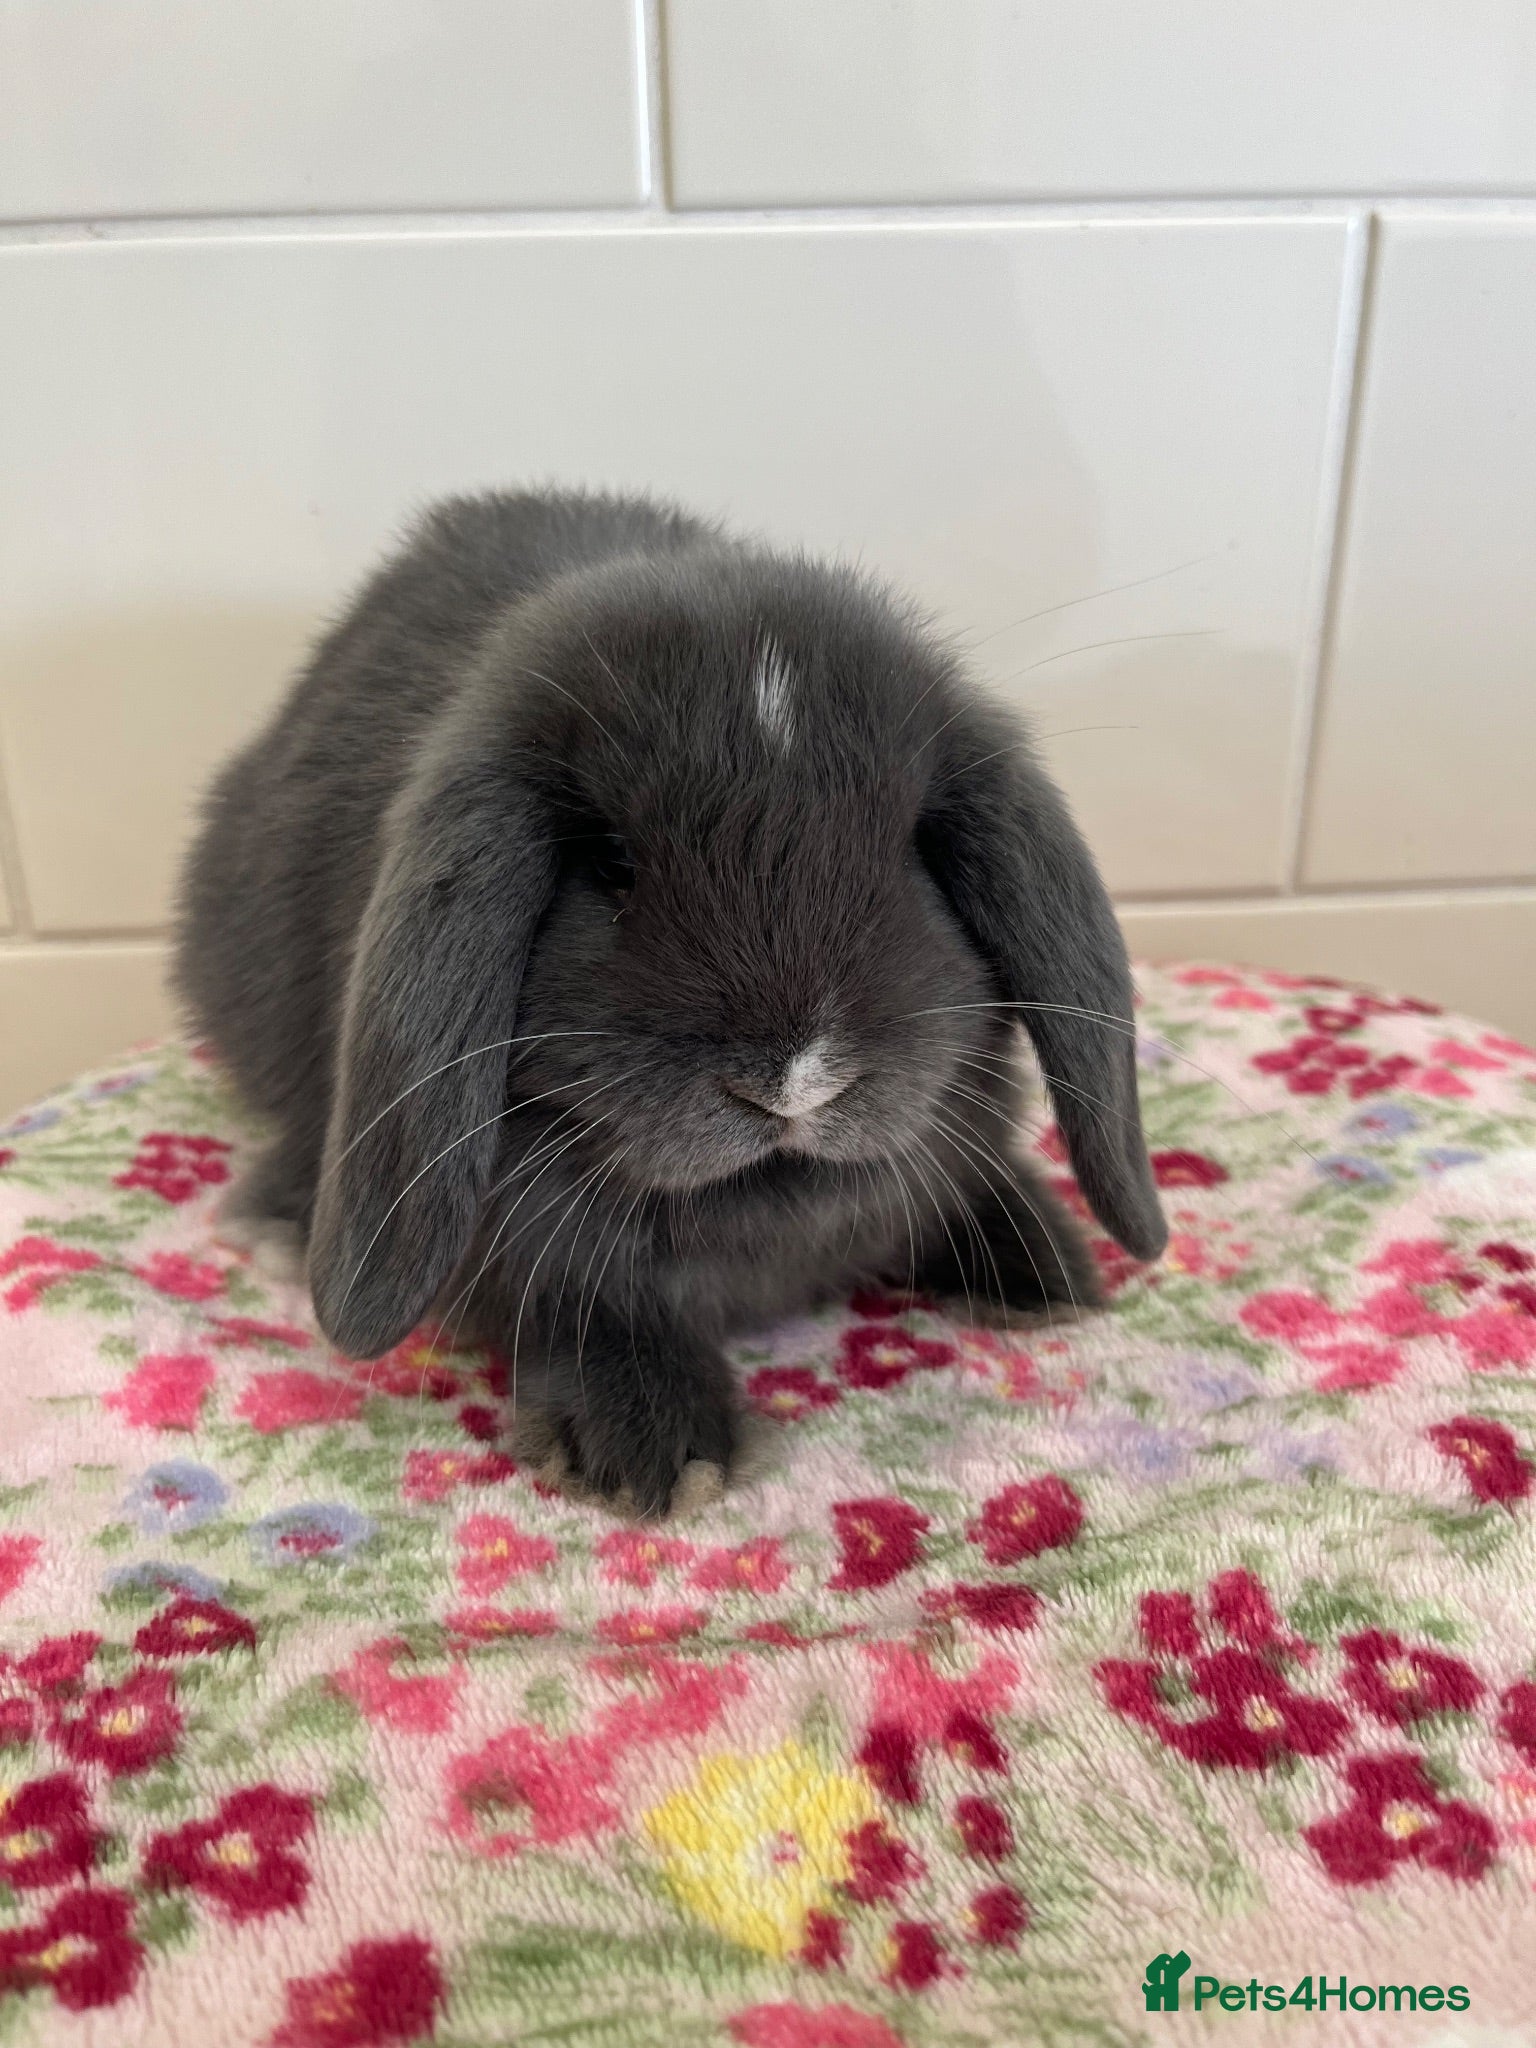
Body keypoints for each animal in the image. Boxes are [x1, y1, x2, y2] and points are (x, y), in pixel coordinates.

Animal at [176, 486, 1166, 1517]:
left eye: (910, 848)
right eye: (612, 861)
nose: (797, 1079)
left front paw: (1044, 1270)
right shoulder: (543, 1258)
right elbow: (582, 1304)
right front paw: (651, 1453)